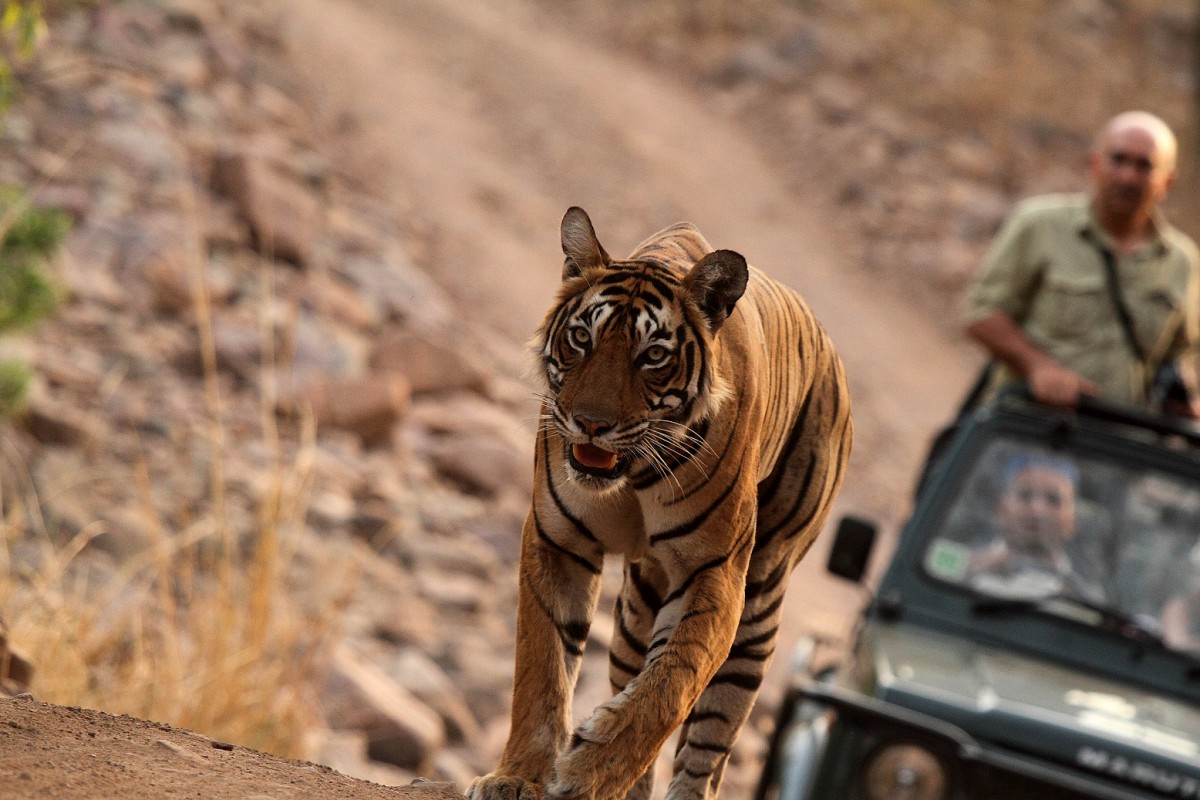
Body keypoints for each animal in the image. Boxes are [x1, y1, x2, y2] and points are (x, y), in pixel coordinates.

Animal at [468, 208, 854, 800]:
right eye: (581, 337)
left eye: (652, 356)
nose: (591, 424)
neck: (629, 476)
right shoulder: (558, 541)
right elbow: (541, 668)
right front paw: (518, 777)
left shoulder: (714, 573)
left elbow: (671, 685)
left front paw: (588, 771)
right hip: (636, 609)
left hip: (760, 604)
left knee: (709, 743)